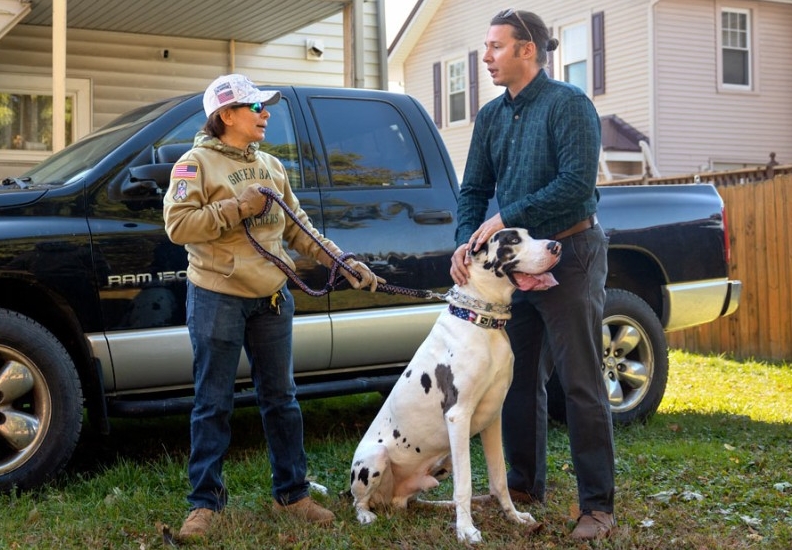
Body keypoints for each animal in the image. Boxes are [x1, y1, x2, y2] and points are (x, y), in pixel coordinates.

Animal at [350, 227, 560, 544]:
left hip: (441, 462)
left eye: (529, 234)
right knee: (357, 500)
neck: (482, 321)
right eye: (512, 240)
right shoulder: (458, 416)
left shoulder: (493, 418)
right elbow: (466, 483)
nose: (556, 246)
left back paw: (439, 505)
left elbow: (499, 478)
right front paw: (466, 529)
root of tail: (387, 499)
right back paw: (366, 515)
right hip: (374, 459)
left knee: (409, 501)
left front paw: (513, 517)